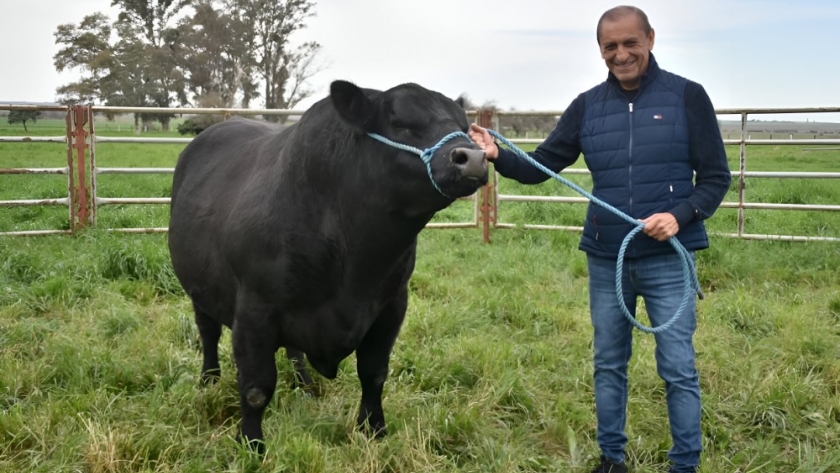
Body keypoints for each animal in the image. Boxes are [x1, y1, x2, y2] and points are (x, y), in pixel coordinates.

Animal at [167, 80, 488, 446]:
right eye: (400, 123)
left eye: (464, 126)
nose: (472, 158)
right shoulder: (254, 310)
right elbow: (256, 388)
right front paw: (251, 444)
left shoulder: (392, 305)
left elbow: (374, 372)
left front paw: (374, 429)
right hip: (200, 287)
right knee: (208, 332)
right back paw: (208, 380)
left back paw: (304, 383)